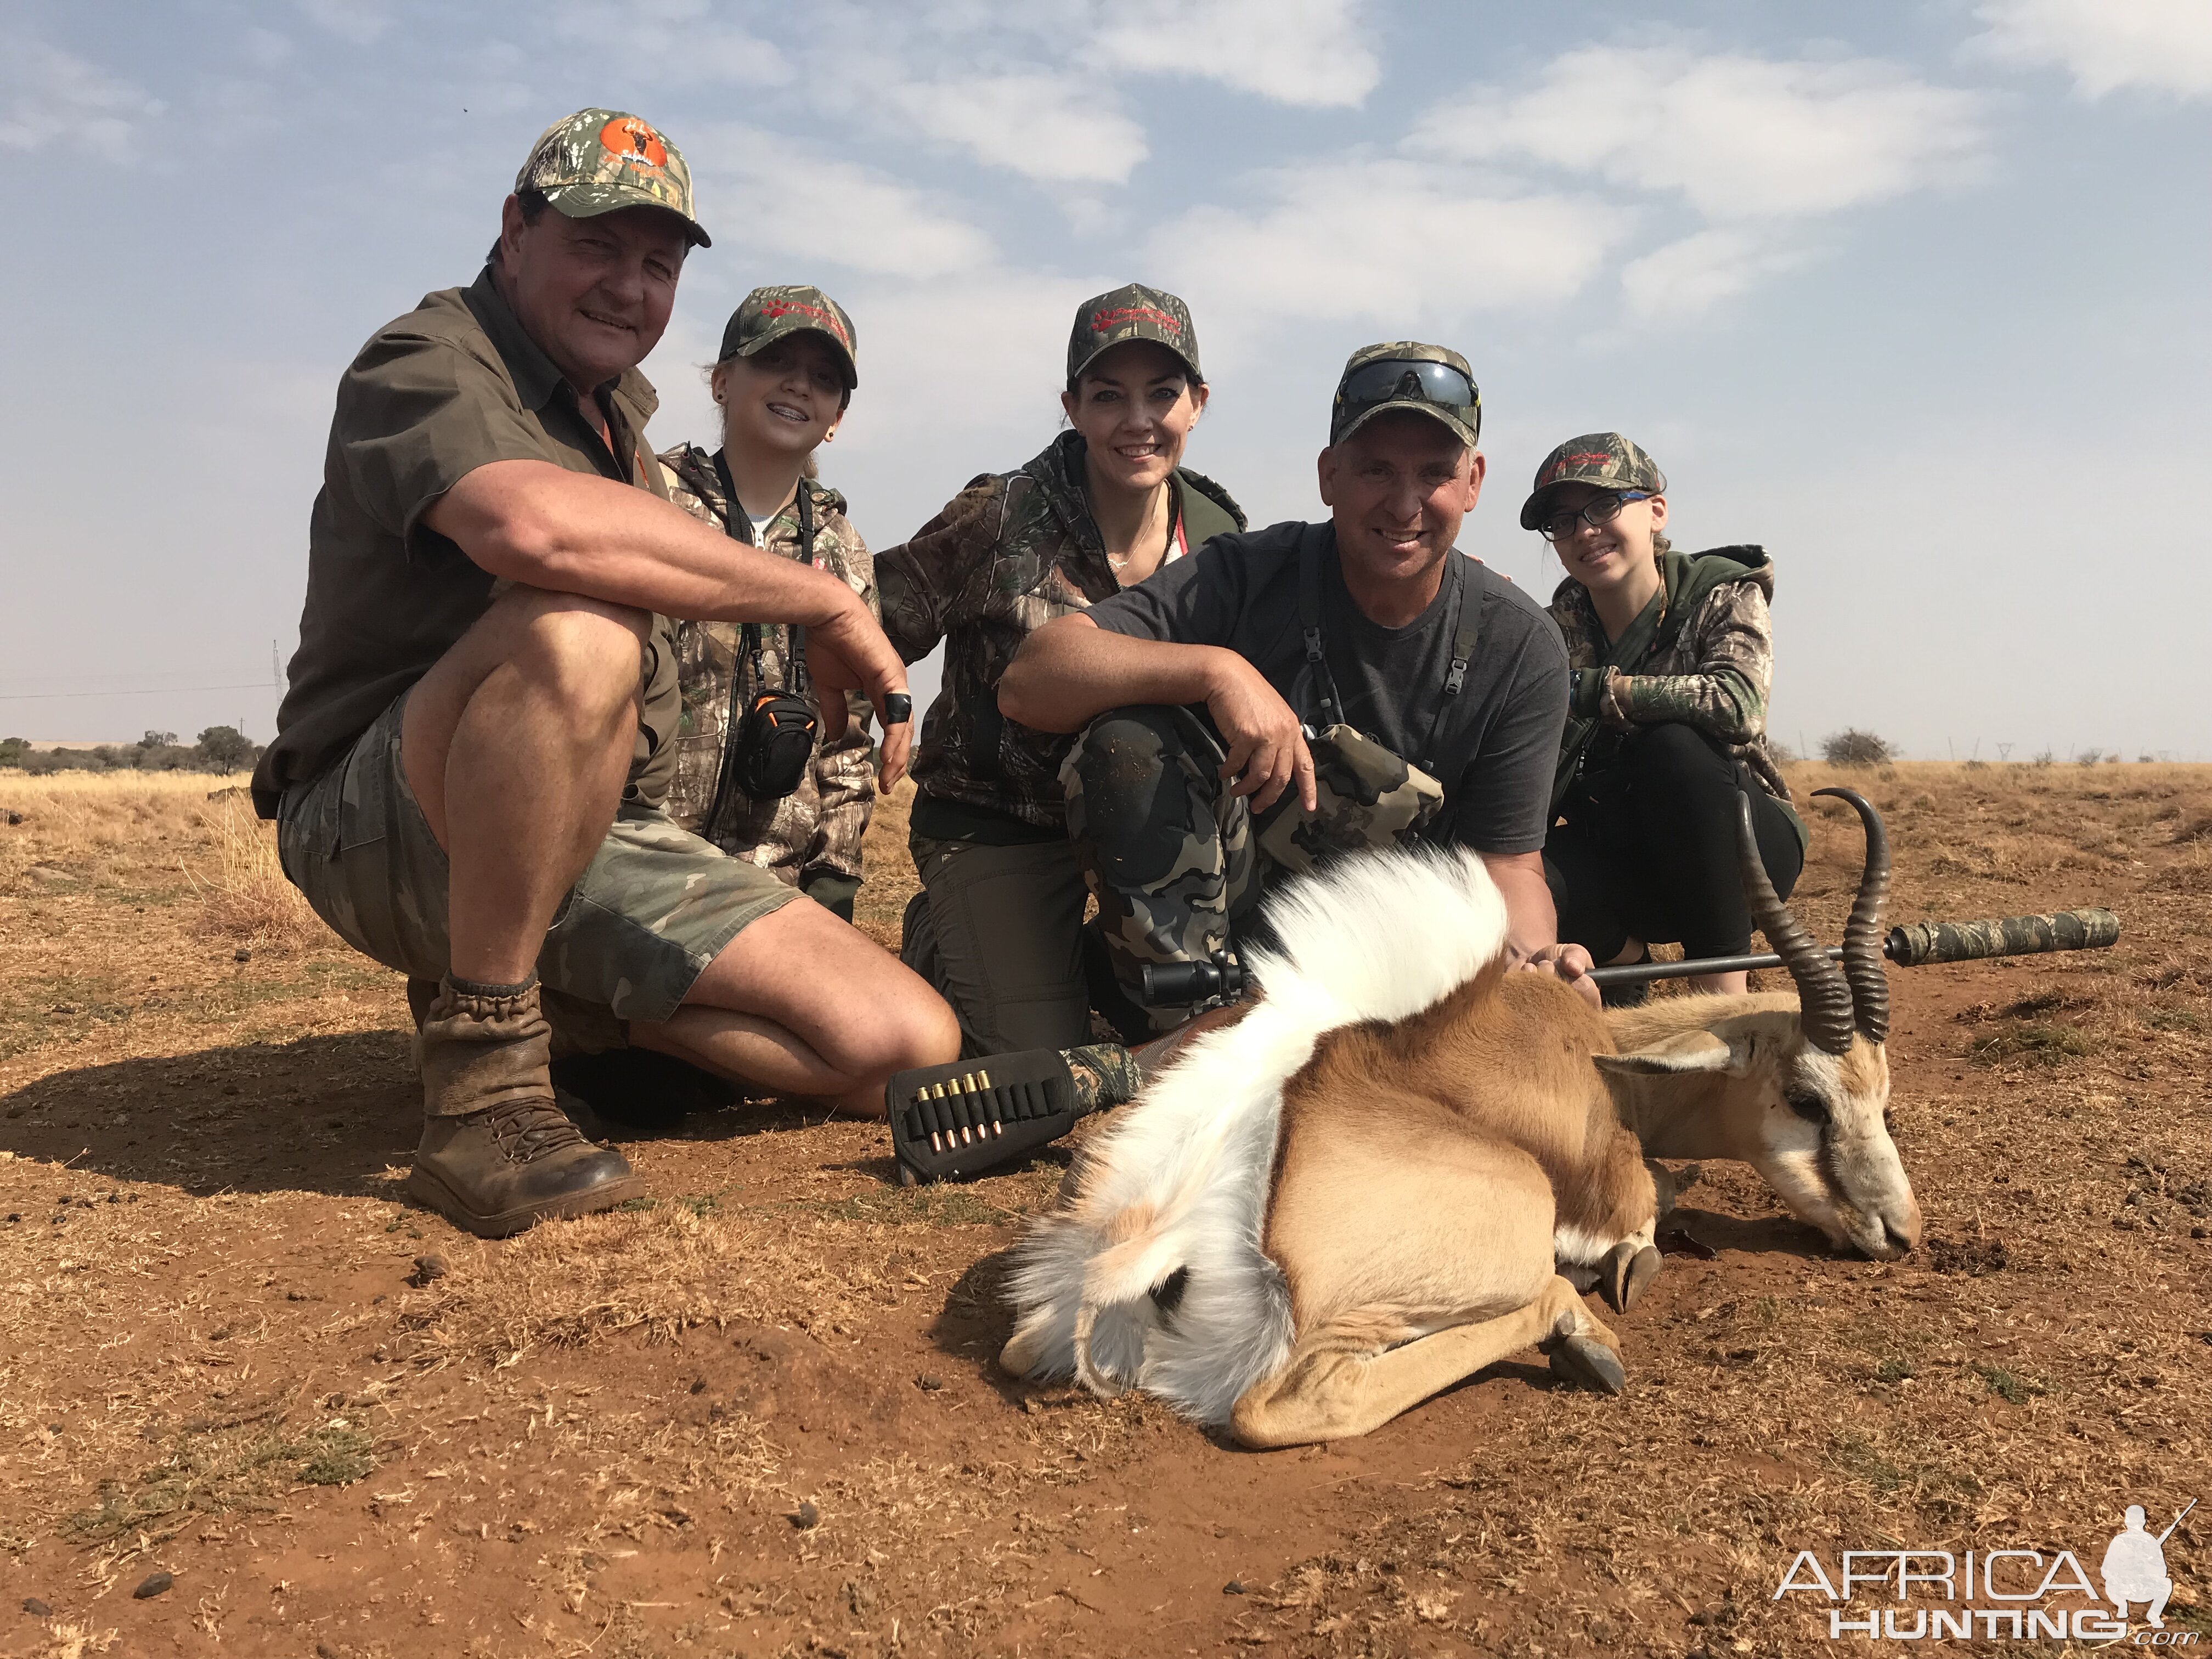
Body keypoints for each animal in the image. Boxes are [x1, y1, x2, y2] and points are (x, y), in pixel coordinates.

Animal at [1004, 787, 1920, 1451]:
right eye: (1806, 1098)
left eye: (1882, 1097)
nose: (1900, 1233)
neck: (1593, 1053)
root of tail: (1160, 1240)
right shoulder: (1615, 1197)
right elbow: (1645, 1221)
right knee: (1291, 1403)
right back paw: (1582, 1338)